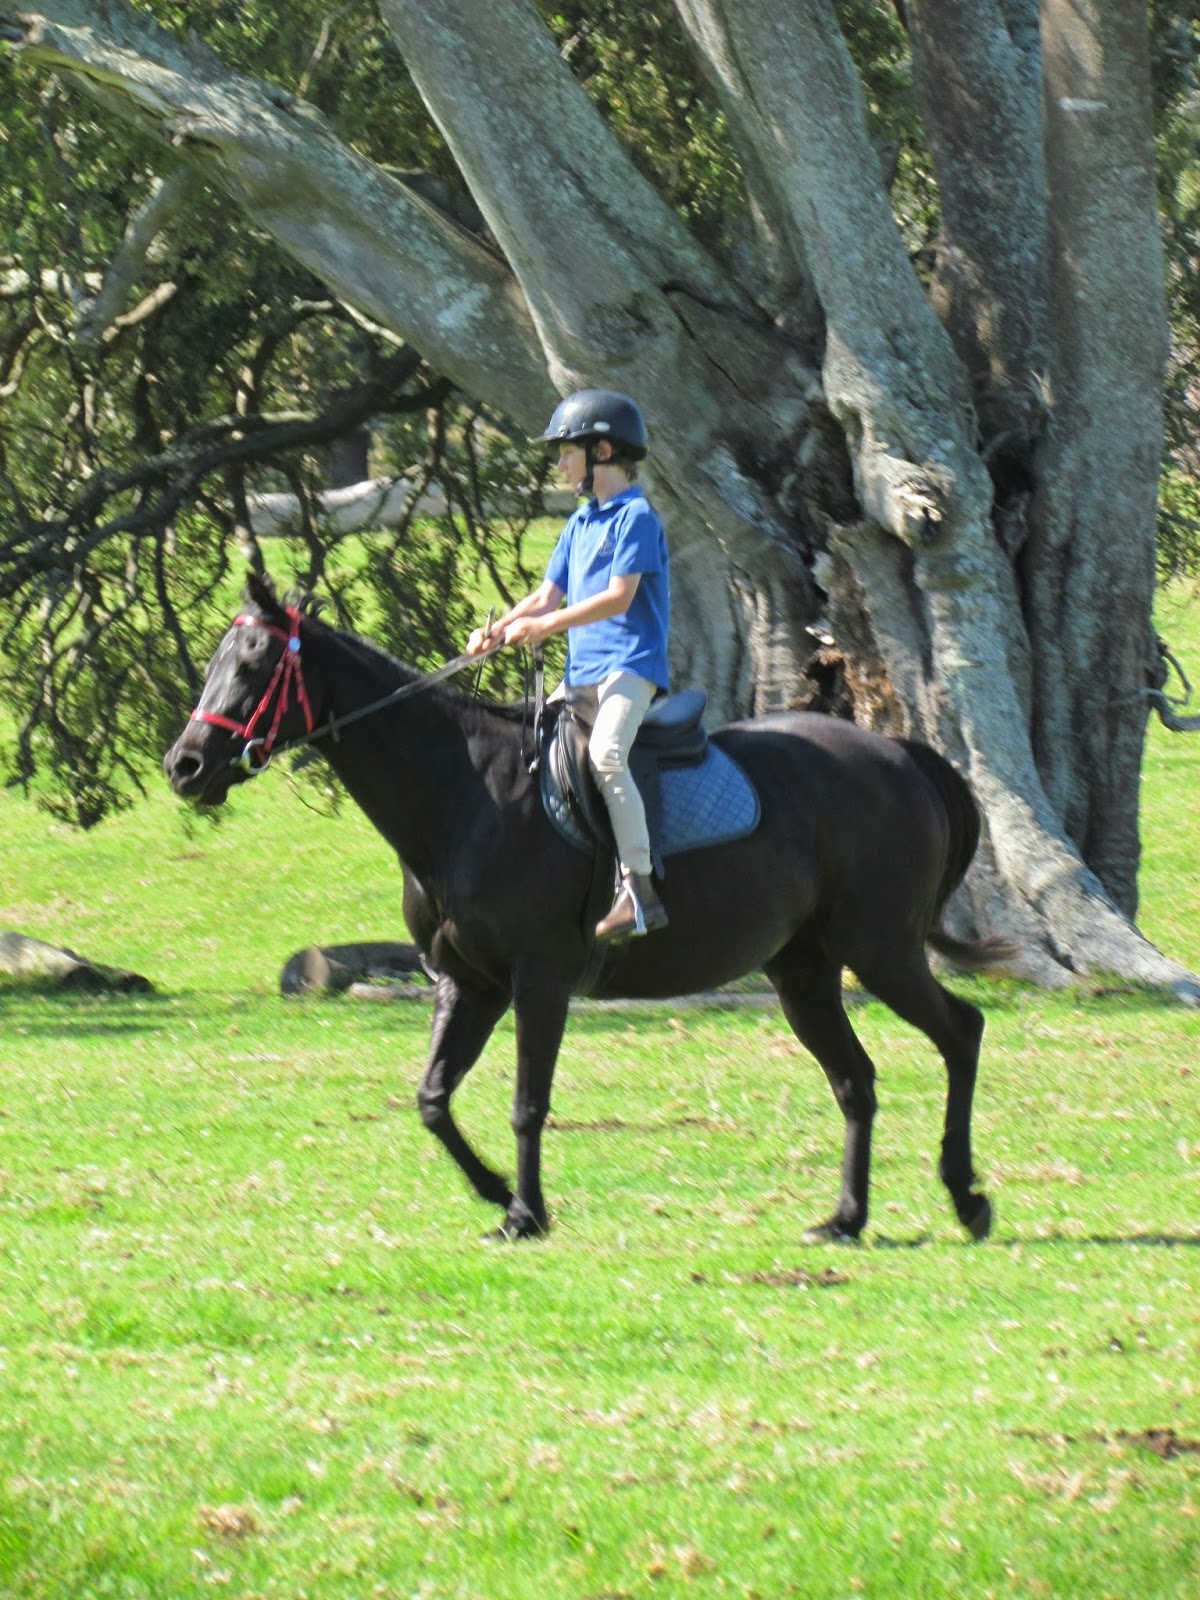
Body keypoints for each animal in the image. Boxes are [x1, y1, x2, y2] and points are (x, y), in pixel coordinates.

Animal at [164, 572, 1008, 1244]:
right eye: (217, 663)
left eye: (253, 665)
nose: (185, 766)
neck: (462, 793)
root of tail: (898, 754)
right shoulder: (466, 984)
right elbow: (433, 1099)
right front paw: (496, 1190)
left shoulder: (538, 980)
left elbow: (527, 1103)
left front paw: (523, 1213)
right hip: (802, 971)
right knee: (855, 1080)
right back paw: (845, 1219)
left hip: (880, 950)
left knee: (961, 1032)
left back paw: (966, 1198)